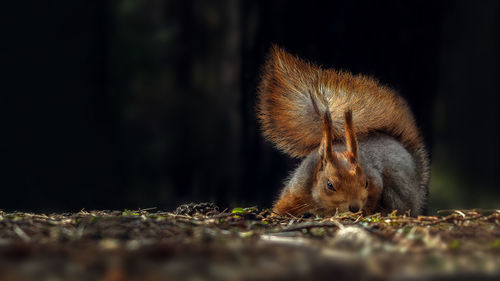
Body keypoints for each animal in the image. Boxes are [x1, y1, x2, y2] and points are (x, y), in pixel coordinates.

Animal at [258, 46, 430, 217]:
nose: (354, 207)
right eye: (330, 185)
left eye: (366, 182)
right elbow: (285, 203)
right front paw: (274, 214)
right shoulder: (299, 187)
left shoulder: (375, 181)